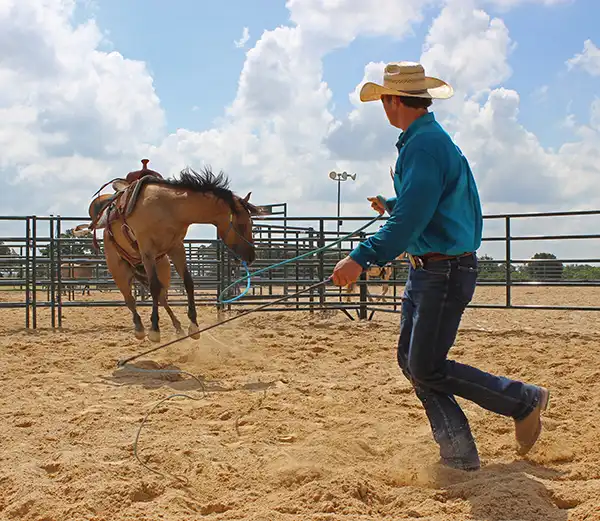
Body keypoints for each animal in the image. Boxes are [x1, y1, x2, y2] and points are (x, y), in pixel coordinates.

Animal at [77, 160, 264, 343]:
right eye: (242, 224)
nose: (251, 256)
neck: (168, 208)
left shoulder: (176, 248)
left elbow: (188, 282)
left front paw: (193, 326)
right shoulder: (147, 250)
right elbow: (153, 287)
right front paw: (154, 330)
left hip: (163, 266)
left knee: (162, 296)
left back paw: (178, 327)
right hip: (119, 270)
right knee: (130, 299)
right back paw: (140, 329)